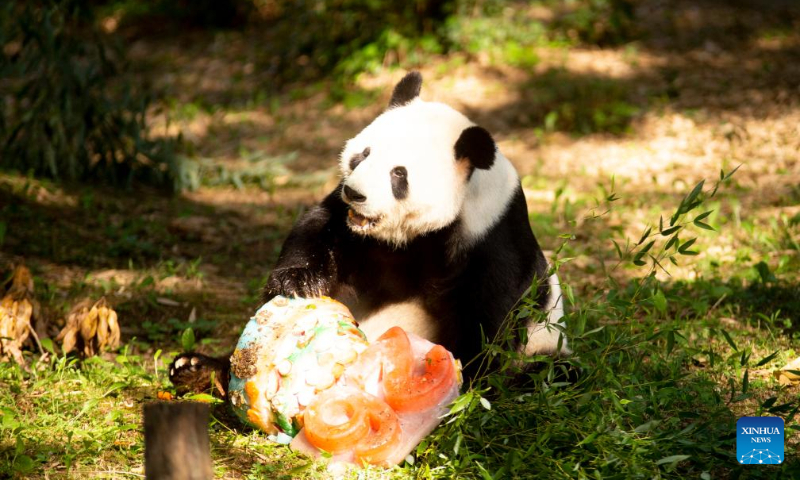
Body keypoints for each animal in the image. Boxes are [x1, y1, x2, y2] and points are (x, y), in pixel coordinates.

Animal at [170, 71, 568, 392]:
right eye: (363, 155)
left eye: (399, 174)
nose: (355, 193)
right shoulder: (351, 226)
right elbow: (317, 229)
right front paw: (298, 282)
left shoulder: (493, 235)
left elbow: (490, 321)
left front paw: (459, 382)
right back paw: (198, 369)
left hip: (548, 347)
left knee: (554, 374)